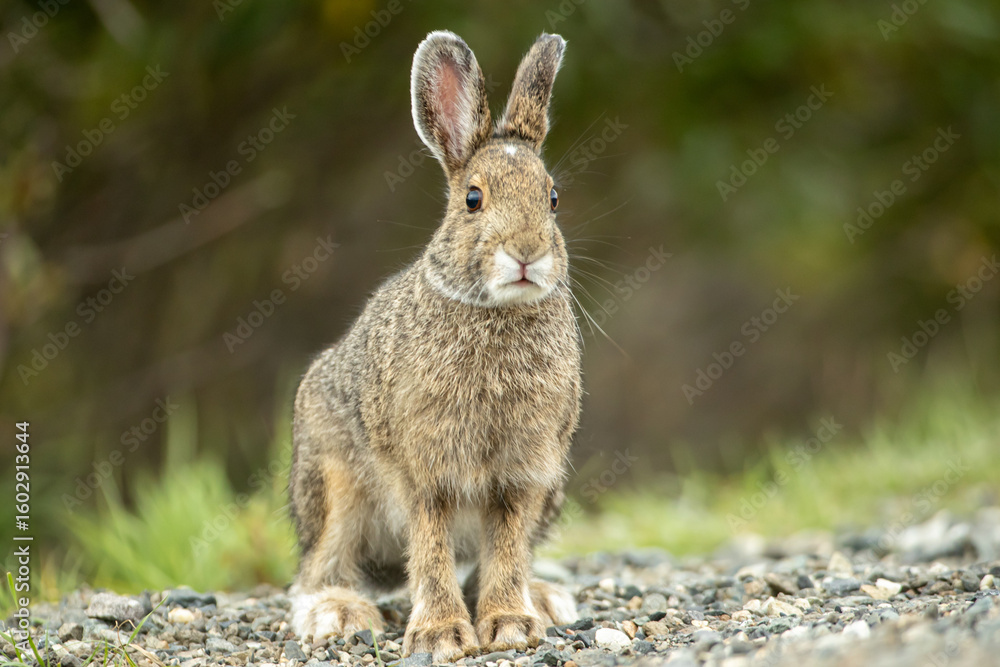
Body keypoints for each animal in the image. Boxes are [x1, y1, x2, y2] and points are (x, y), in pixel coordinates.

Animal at [288, 30, 581, 662]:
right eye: (473, 198)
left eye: (552, 199)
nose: (527, 252)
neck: (494, 312)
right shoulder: (423, 471)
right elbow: (429, 549)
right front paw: (443, 635)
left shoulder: (524, 475)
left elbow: (505, 549)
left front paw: (511, 623)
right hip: (334, 483)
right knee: (316, 569)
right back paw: (338, 614)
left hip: (553, 492)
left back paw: (545, 600)